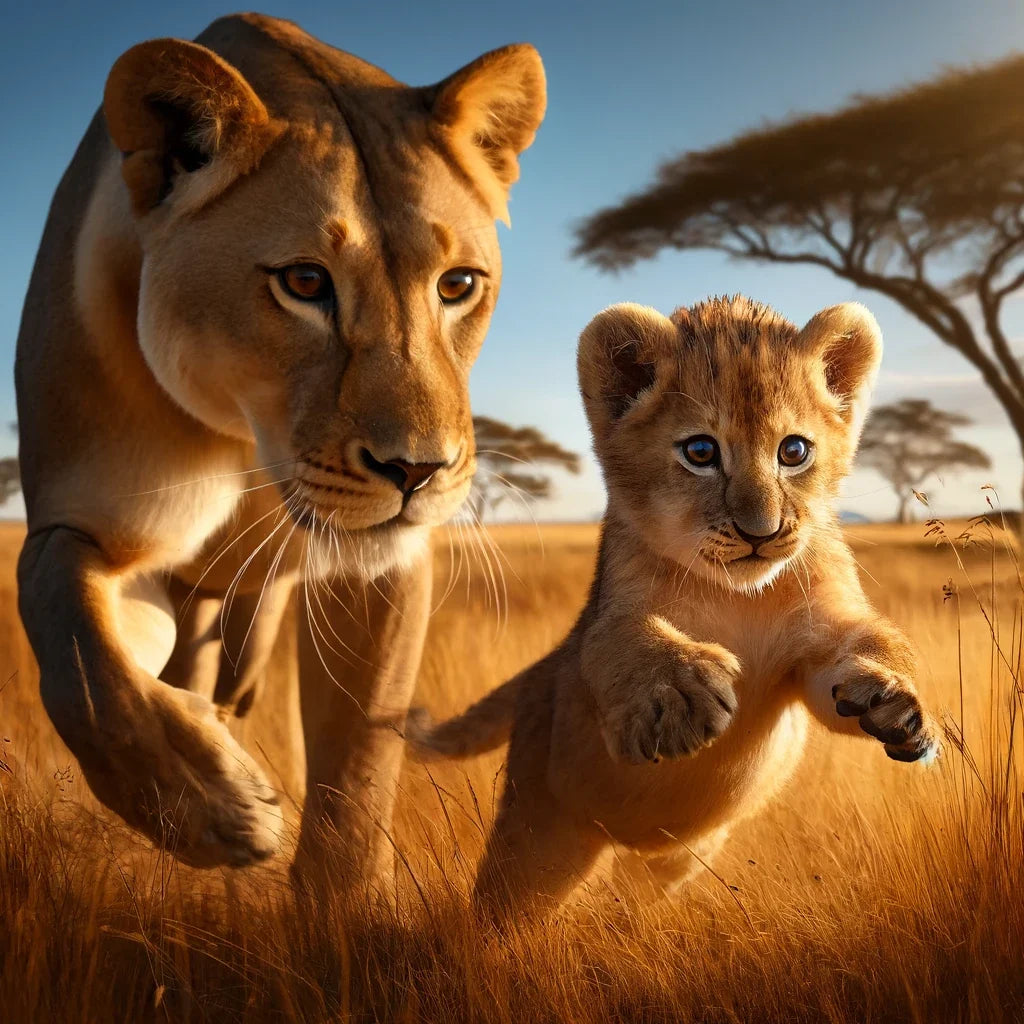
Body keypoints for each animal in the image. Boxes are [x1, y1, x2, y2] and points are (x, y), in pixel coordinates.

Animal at [14, 13, 545, 880]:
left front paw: (342, 909)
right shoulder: (96, 525)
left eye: (458, 285)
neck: (244, 433)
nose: (416, 471)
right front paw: (209, 805)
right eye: (303, 282)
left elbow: (357, 781)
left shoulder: (381, 569)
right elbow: (77, 648)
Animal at [410, 297, 941, 918]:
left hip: (680, 856)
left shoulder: (818, 641)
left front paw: (896, 703)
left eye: (793, 451)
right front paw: (679, 696)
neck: (737, 597)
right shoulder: (607, 622)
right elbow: (625, 641)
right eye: (701, 452)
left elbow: (866, 648)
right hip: (537, 834)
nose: (761, 532)